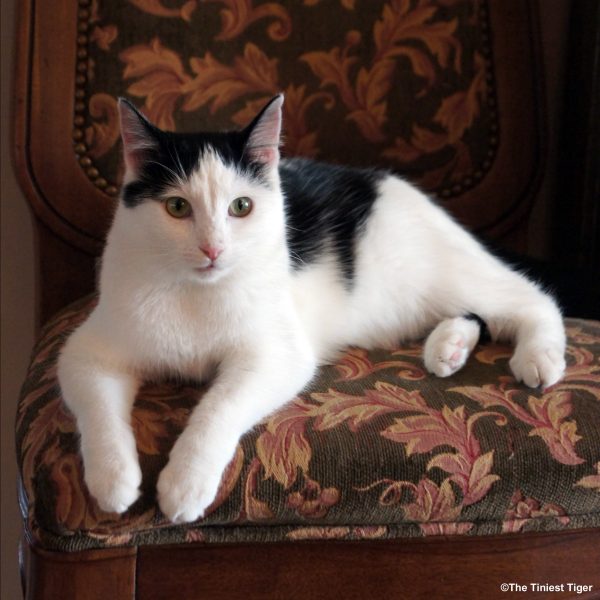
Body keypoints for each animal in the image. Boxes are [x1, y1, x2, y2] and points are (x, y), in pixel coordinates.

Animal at [57, 95, 568, 524]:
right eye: (177, 207)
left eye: (242, 207)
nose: (213, 249)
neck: (195, 294)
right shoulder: (87, 350)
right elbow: (96, 404)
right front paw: (112, 479)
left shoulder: (276, 355)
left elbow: (217, 407)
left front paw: (185, 482)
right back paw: (449, 348)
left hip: (441, 272)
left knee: (529, 296)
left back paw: (539, 357)